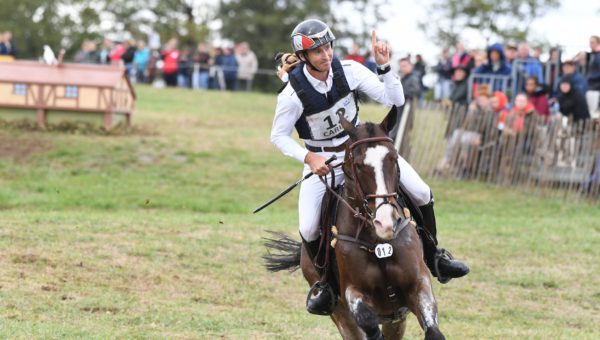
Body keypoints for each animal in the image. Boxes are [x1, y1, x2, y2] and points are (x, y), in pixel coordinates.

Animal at [264, 113, 446, 338]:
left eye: (394, 159)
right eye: (358, 165)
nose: (385, 223)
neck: (377, 241)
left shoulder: (419, 284)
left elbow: (434, 331)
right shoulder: (353, 292)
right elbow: (367, 321)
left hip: (396, 318)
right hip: (341, 314)